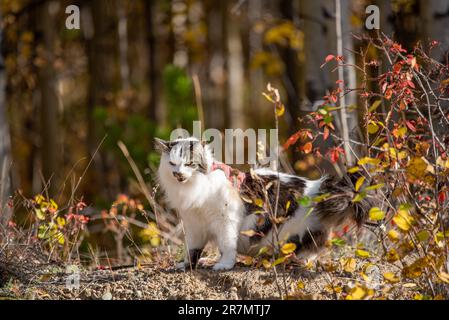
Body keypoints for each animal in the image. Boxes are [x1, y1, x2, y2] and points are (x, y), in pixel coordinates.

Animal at [154, 137, 372, 270]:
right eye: (172, 164)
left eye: (189, 163)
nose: (178, 174)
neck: (193, 190)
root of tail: (318, 187)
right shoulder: (194, 226)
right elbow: (192, 250)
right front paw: (186, 265)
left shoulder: (225, 220)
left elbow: (227, 245)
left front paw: (224, 265)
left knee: (313, 248)